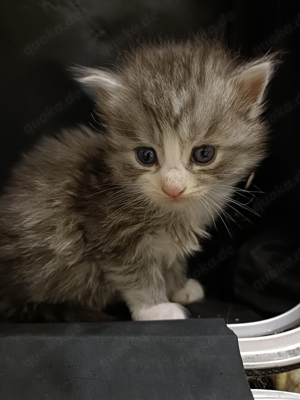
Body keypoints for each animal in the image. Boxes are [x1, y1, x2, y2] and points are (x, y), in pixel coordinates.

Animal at [0, 41, 274, 322]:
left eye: (203, 154)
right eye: (146, 155)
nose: (172, 187)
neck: (171, 214)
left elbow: (173, 259)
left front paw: (178, 287)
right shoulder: (108, 233)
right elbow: (135, 274)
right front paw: (155, 308)